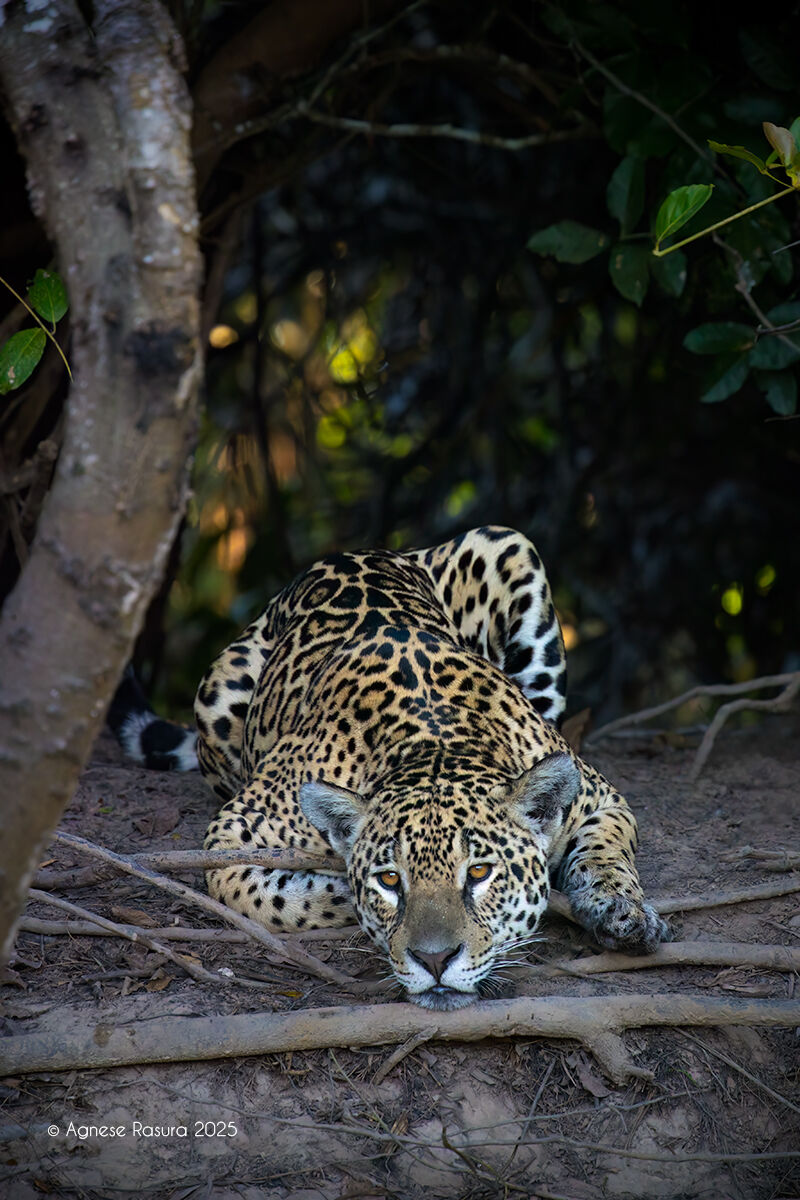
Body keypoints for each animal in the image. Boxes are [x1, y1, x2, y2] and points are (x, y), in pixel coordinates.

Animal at [115, 526, 669, 1010]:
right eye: (389, 880)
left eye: (480, 872)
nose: (435, 960)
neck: (433, 746)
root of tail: (363, 550)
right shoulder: (234, 831)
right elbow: (272, 898)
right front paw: (343, 888)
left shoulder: (598, 797)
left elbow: (607, 853)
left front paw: (623, 910)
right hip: (217, 691)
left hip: (506, 546)